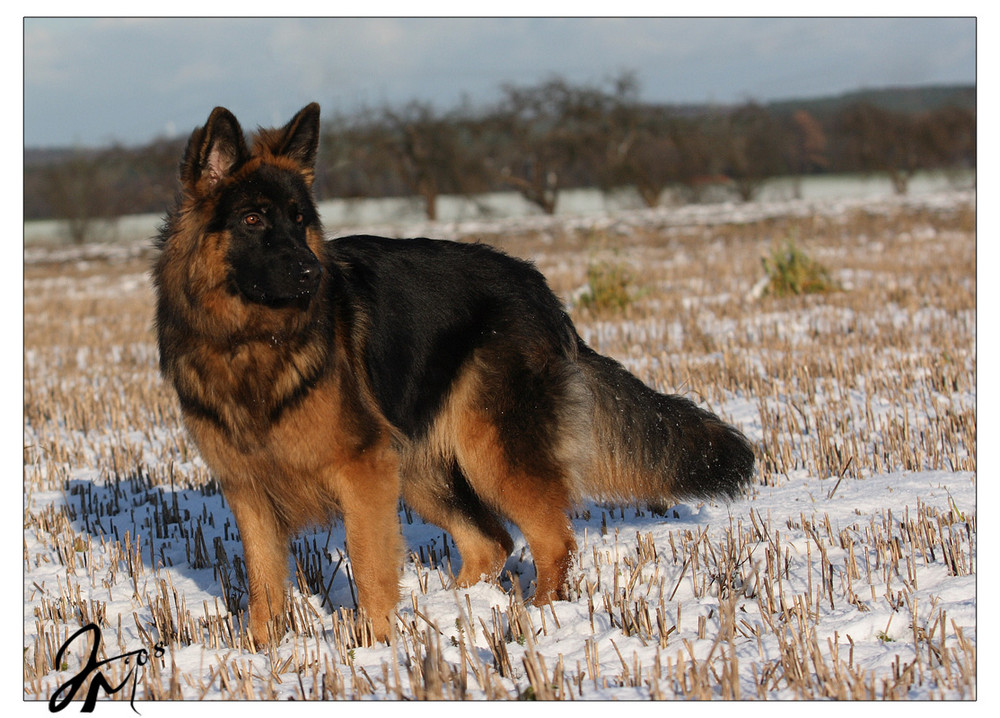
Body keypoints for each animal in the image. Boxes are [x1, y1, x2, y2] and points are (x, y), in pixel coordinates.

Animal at [154, 104, 752, 648]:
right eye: (253, 220)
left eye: (300, 222)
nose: (311, 273)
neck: (252, 342)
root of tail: (539, 289)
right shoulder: (248, 488)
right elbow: (263, 583)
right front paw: (260, 651)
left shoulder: (362, 470)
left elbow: (369, 565)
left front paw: (375, 648)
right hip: (424, 467)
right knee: (491, 543)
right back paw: (460, 607)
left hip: (490, 453)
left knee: (551, 541)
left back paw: (538, 622)